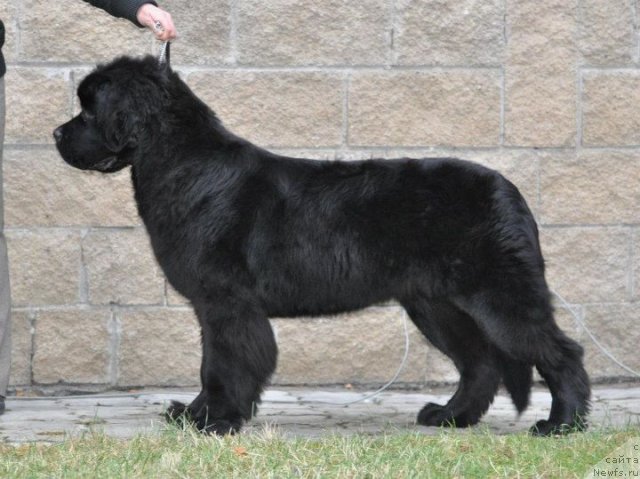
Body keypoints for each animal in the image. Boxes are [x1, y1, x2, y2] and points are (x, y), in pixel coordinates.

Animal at [55, 55, 592, 436]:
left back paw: (561, 425)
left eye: (88, 109)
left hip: (499, 295)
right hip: (437, 304)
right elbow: (212, 363)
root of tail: (510, 190)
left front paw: (215, 422)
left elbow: (225, 364)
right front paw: (193, 416)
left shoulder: (227, 301)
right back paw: (448, 417)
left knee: (560, 352)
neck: (182, 163)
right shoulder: (214, 306)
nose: (57, 132)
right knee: (479, 363)